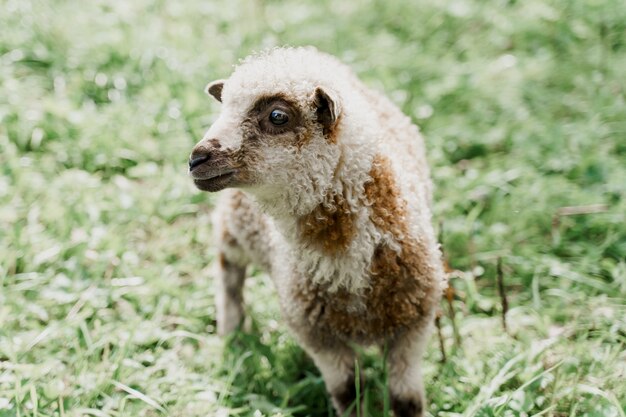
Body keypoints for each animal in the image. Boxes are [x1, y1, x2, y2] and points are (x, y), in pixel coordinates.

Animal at [188, 46, 446, 416]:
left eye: (278, 116)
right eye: (224, 107)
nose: (196, 159)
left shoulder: (414, 324)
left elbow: (406, 400)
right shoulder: (316, 334)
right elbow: (349, 392)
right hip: (233, 226)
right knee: (229, 275)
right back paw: (232, 333)